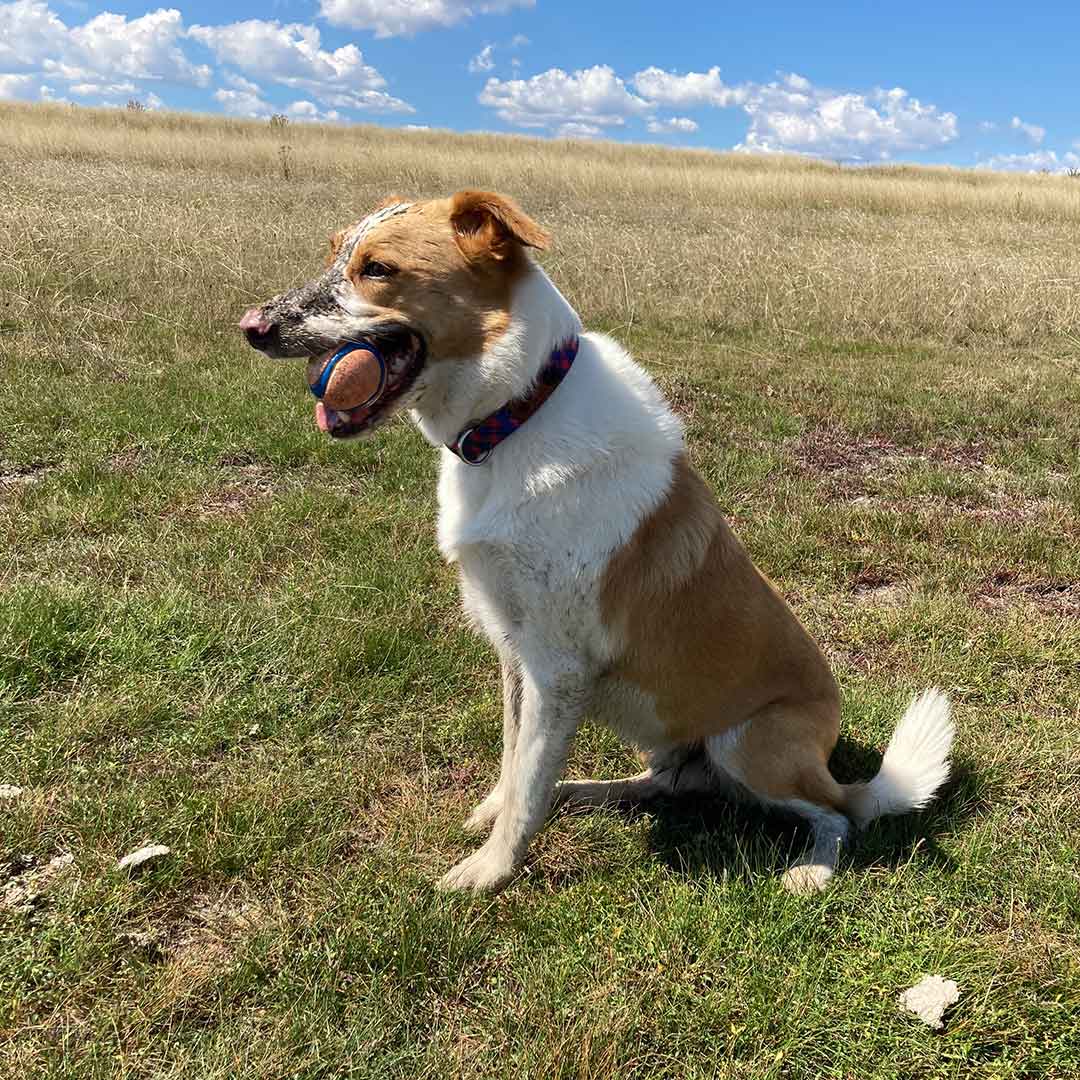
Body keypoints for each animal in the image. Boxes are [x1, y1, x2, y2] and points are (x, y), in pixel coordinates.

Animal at [243, 187, 954, 894]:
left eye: (378, 270)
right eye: (335, 253)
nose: (250, 327)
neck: (518, 414)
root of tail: (835, 768)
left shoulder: (557, 664)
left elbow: (528, 778)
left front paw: (489, 871)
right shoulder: (515, 651)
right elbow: (517, 763)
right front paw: (501, 817)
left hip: (751, 744)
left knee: (839, 815)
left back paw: (811, 867)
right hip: (673, 742)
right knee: (666, 784)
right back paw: (586, 791)